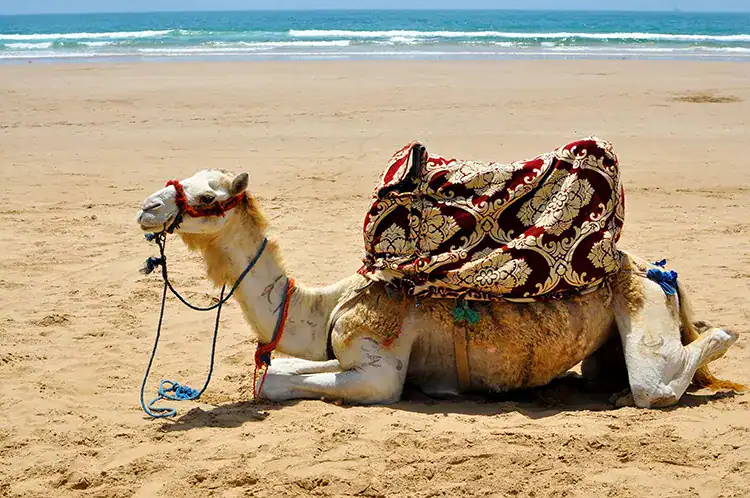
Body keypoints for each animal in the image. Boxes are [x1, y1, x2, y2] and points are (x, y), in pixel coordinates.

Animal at [135, 169, 743, 408]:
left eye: (208, 196)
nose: (147, 207)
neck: (325, 304)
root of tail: (658, 269)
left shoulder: (380, 372)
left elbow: (273, 382)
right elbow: (280, 367)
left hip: (644, 306)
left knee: (656, 381)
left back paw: (718, 339)